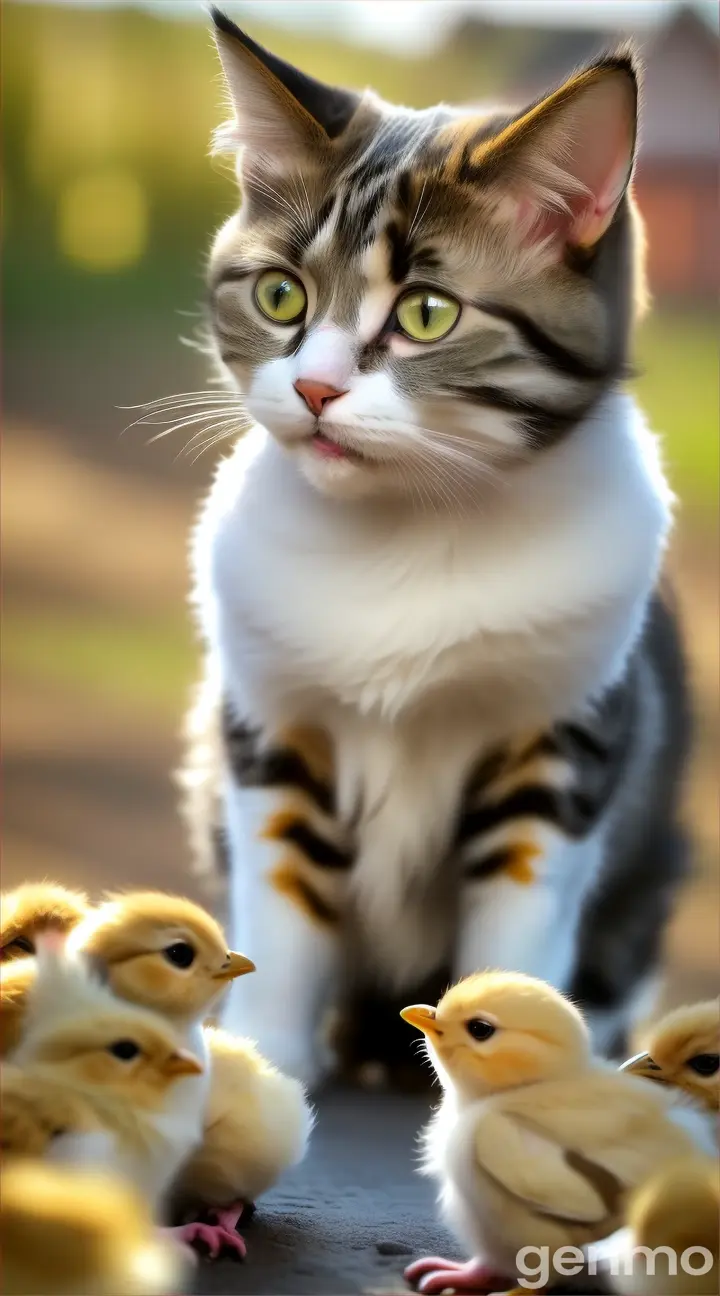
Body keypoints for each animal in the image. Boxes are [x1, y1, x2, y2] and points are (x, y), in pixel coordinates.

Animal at [177, 10, 688, 1088]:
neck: (405, 529)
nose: (315, 389)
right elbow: (283, 911)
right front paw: (268, 1057)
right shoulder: (270, 730)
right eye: (280, 296)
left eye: (426, 314)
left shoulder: (560, 745)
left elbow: (521, 925)